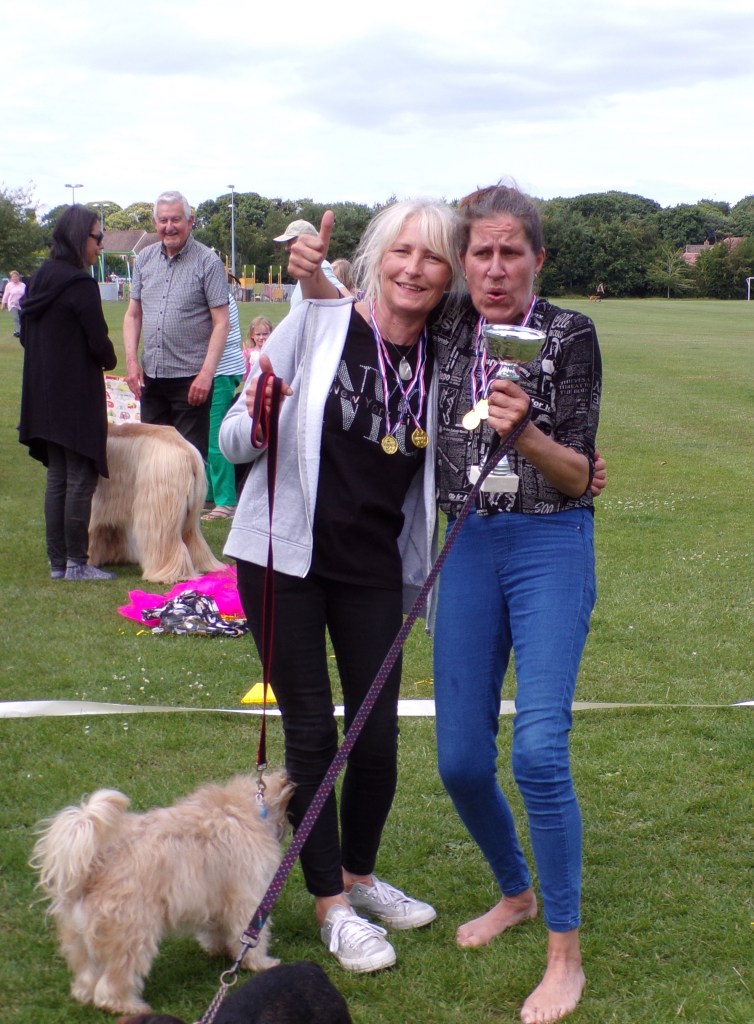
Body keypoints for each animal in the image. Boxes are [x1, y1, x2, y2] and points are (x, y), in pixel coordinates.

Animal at [31, 772, 293, 1015]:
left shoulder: (214, 897)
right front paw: (260, 964)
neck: (250, 807)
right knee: (114, 982)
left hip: (80, 937)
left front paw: (219, 949)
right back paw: (130, 1006)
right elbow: (250, 937)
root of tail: (94, 865)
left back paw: (85, 994)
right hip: (132, 933)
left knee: (87, 976)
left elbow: (216, 929)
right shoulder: (248, 899)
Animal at [89, 423, 225, 584]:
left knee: (167, 544)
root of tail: (188, 452)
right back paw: (205, 566)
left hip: (156, 508)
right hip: (191, 514)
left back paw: (168, 574)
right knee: (194, 539)